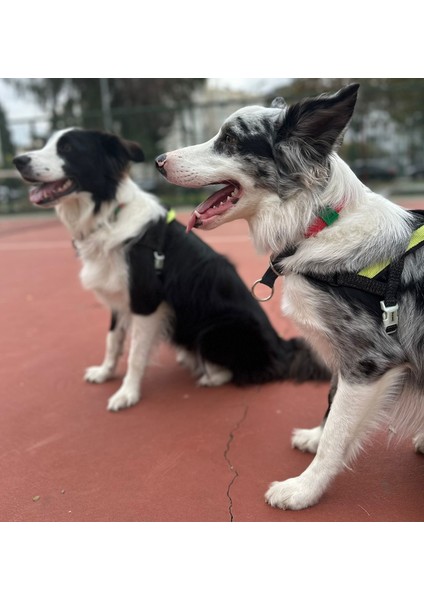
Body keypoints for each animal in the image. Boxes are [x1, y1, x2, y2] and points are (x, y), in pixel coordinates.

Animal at [13, 128, 330, 412]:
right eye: (48, 143)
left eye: (67, 149)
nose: (18, 160)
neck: (108, 216)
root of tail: (281, 347)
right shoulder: (118, 299)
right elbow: (113, 340)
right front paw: (104, 372)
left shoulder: (145, 301)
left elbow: (135, 355)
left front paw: (127, 394)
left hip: (215, 330)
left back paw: (209, 375)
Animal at [157, 82, 424, 508]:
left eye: (229, 141)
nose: (158, 160)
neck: (318, 224)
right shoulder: (345, 356)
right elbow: (331, 407)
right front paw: (314, 438)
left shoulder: (369, 358)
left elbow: (338, 434)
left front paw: (303, 489)